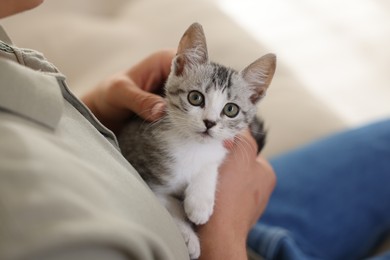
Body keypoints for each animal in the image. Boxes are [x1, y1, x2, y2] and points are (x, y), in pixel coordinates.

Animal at [117, 23, 276, 258]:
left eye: (231, 109)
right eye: (195, 97)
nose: (209, 122)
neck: (192, 148)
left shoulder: (219, 149)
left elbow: (211, 163)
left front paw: (200, 202)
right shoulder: (139, 161)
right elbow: (165, 200)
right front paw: (188, 235)